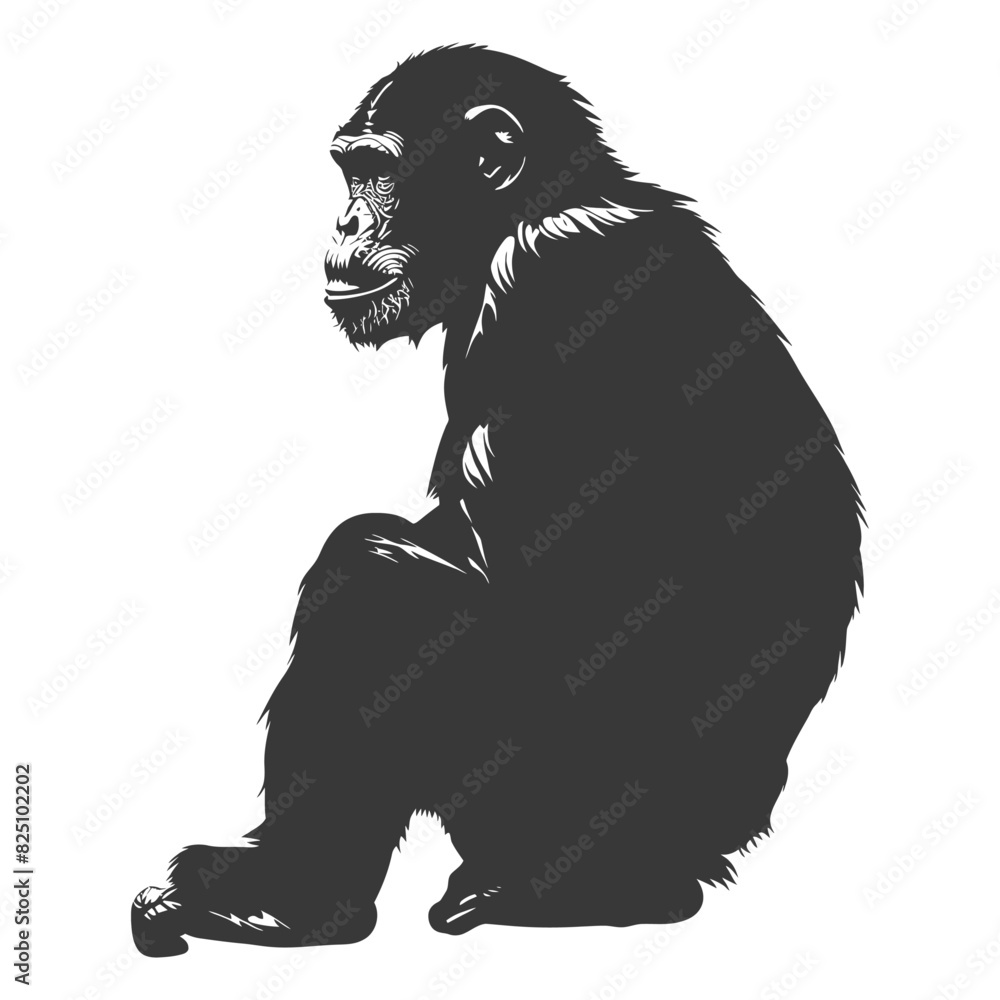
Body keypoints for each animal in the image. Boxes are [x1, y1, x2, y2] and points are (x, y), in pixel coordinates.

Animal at [133, 44, 862, 956]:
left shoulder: (547, 279)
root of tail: (720, 845)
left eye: (376, 172)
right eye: (347, 172)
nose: (345, 225)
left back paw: (301, 897)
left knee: (376, 582)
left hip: (567, 802)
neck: (527, 213)